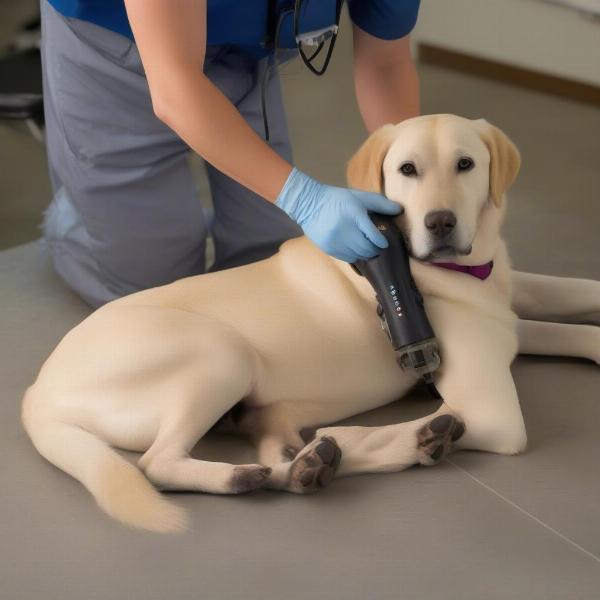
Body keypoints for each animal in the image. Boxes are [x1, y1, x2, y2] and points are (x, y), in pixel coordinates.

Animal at [21, 115, 596, 532]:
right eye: (407, 170)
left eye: (466, 164)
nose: (440, 223)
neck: (466, 272)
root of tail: (36, 393)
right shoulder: (492, 409)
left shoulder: (512, 307)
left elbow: (576, 305)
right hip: (221, 351)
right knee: (157, 463)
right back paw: (398, 440)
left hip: (253, 405)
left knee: (276, 452)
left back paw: (305, 465)